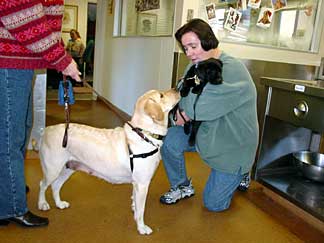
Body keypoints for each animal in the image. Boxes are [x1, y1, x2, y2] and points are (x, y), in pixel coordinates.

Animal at [38, 89, 180, 234]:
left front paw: (135, 213)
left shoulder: (136, 183)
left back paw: (59, 204)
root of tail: (46, 130)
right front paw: (142, 227)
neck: (144, 134)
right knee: (42, 184)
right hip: (52, 170)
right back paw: (42, 204)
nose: (177, 89)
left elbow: (135, 202)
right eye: (161, 95)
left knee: (55, 186)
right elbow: (141, 210)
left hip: (68, 168)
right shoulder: (142, 183)